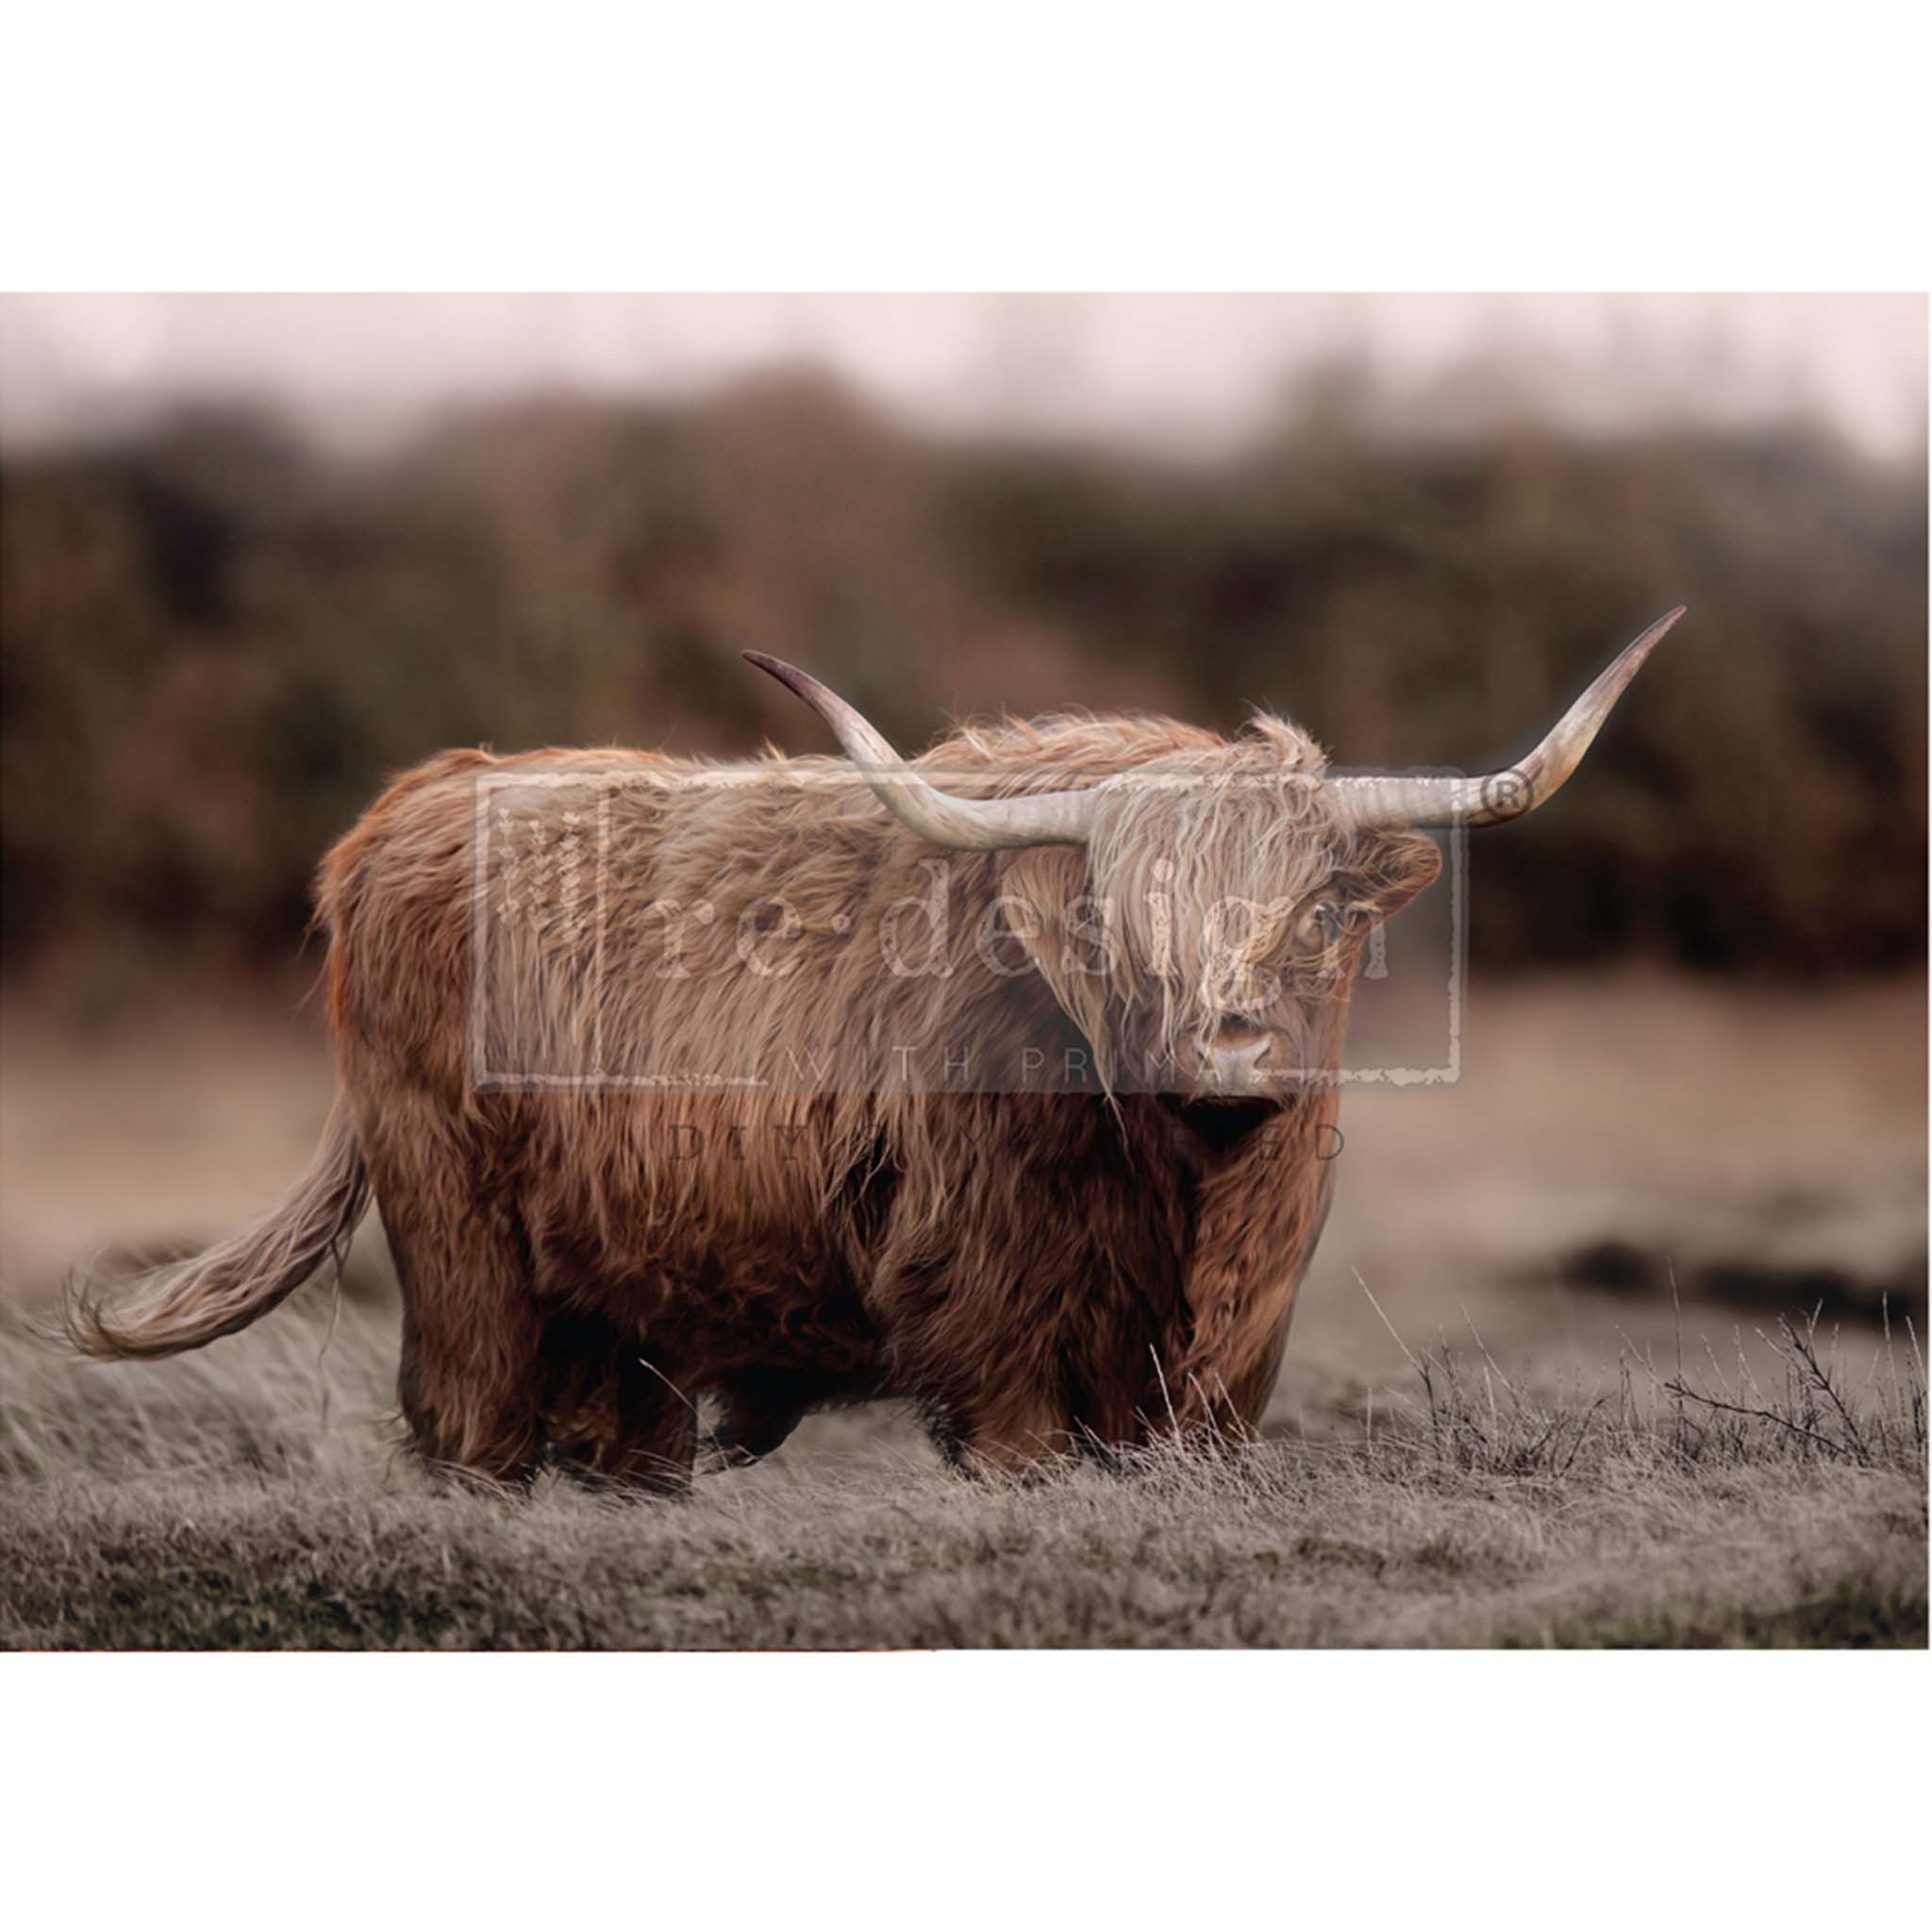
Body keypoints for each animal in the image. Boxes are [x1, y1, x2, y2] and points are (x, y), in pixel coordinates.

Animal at [68, 610, 1684, 1483]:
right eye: (1118, 929)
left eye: (1321, 915)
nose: (1225, 1052)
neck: (1187, 1202)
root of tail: (418, 798)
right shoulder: (994, 1329)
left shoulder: (1235, 1359)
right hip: (459, 1238)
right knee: (473, 1430)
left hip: (628, 1300)